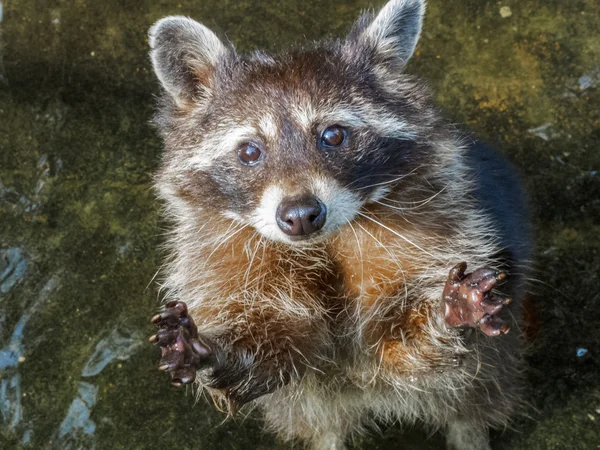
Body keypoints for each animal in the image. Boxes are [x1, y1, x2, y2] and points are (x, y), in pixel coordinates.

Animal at [148, 1, 532, 448]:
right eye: (249, 151)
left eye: (333, 135)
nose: (300, 215)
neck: (324, 243)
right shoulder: (223, 260)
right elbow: (272, 351)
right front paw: (213, 350)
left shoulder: (442, 230)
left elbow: (408, 343)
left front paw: (443, 312)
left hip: (492, 370)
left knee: (472, 403)